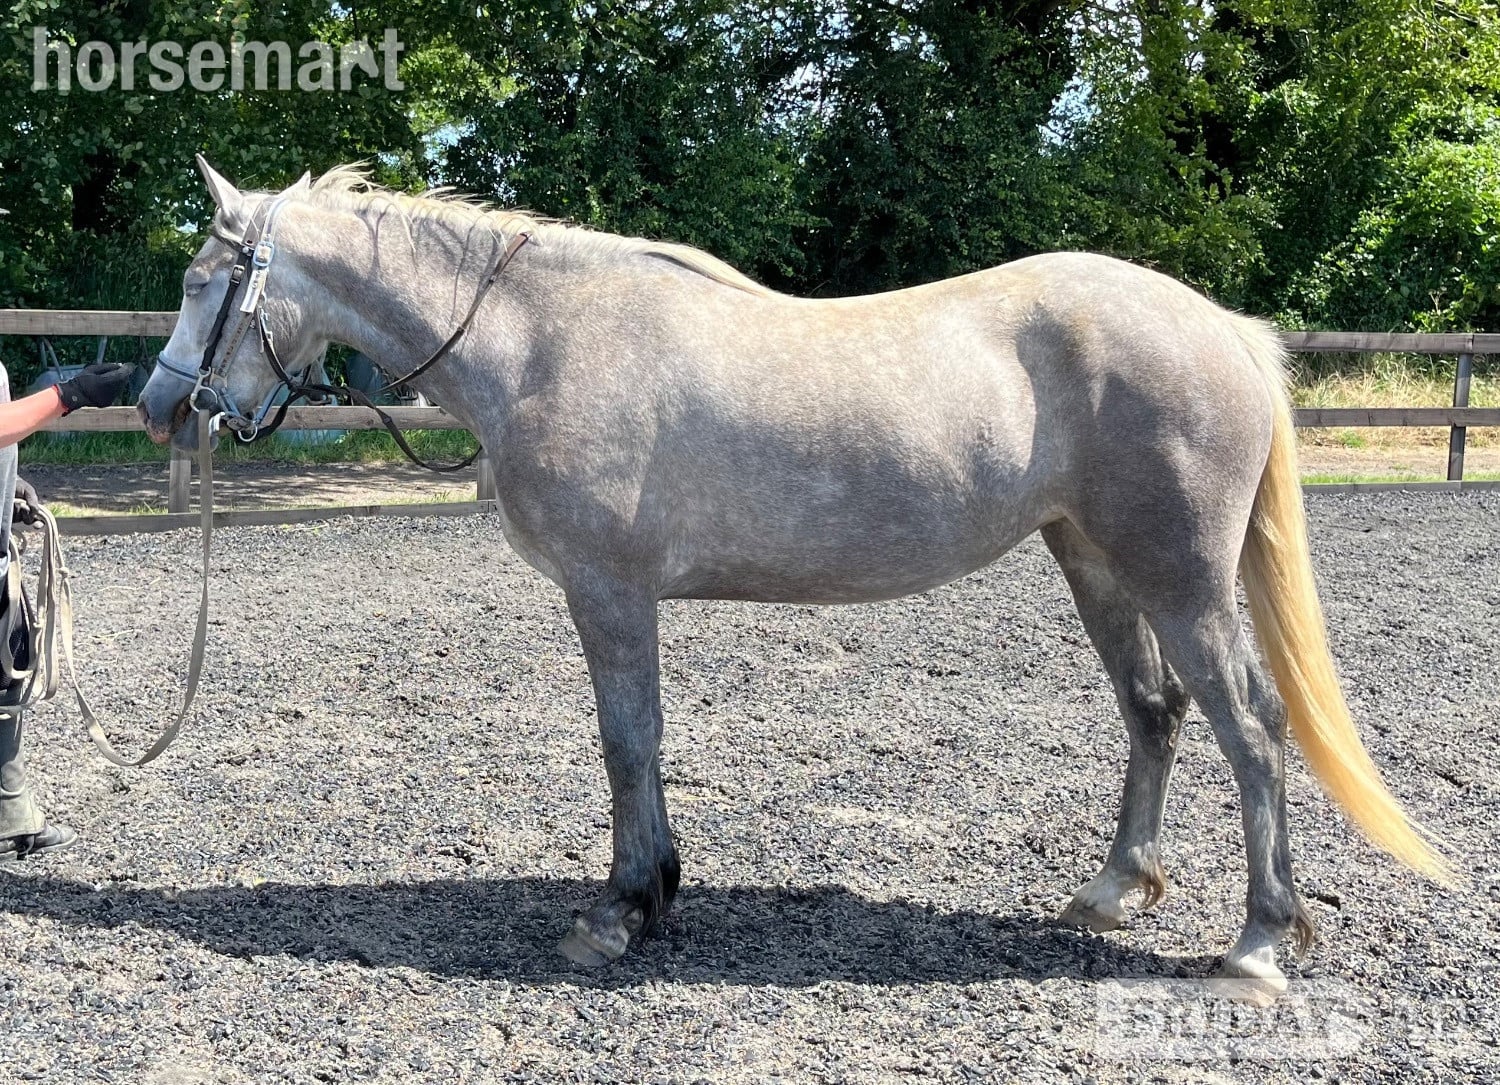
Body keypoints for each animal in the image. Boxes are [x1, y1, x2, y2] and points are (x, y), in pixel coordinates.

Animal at [137, 158, 1451, 1002]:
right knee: (1155, 711)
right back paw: (1117, 888)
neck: (542, 340)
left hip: (1179, 577)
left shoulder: (607, 589)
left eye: (206, 282)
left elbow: (626, 740)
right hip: (1094, 560)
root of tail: (1224, 327)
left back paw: (1260, 940)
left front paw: (618, 910)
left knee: (1252, 730)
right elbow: (643, 741)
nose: (158, 406)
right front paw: (658, 891)